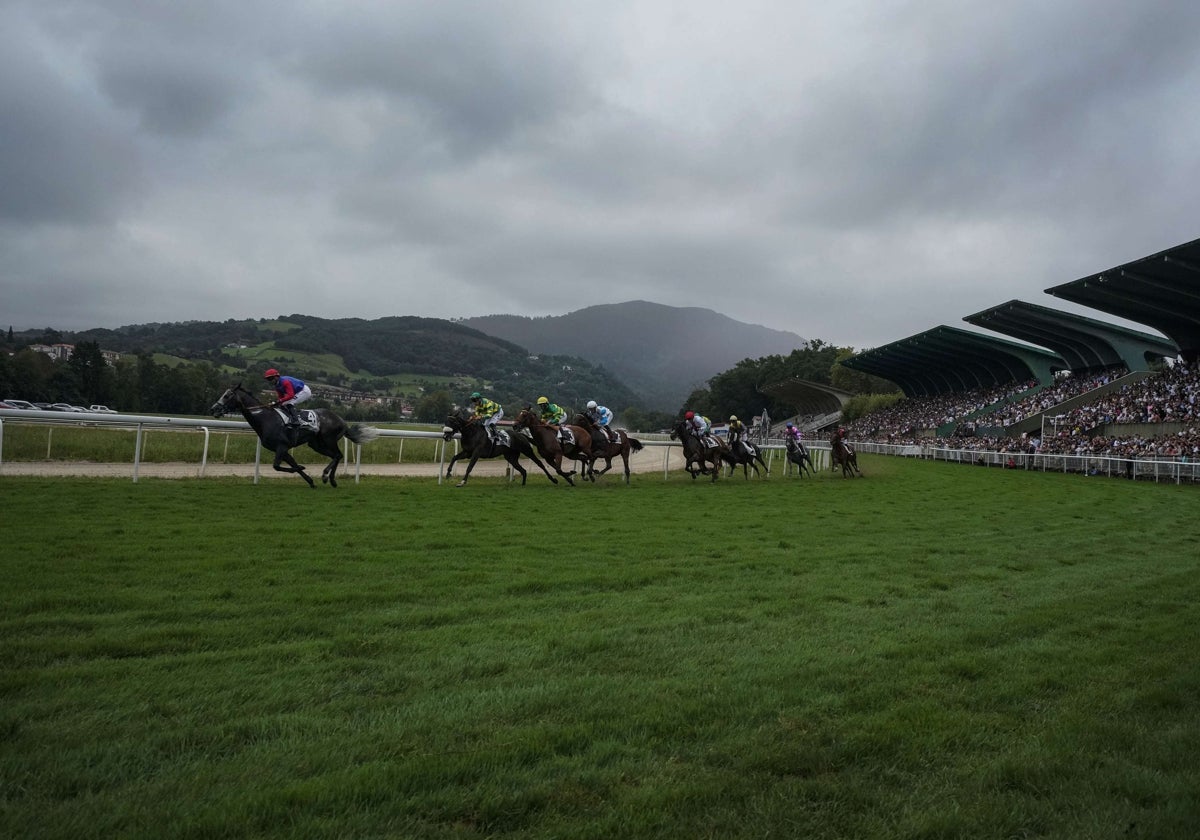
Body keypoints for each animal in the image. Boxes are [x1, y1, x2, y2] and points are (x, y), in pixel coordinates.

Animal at [211, 381, 376, 484]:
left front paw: (304, 470)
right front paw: (310, 481)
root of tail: (342, 421)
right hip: (316, 444)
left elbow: (277, 466)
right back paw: (331, 479)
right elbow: (290, 464)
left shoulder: (281, 446)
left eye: (227, 396)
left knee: (338, 455)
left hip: (329, 440)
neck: (265, 418)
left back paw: (326, 476)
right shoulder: (282, 449)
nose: (213, 409)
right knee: (335, 456)